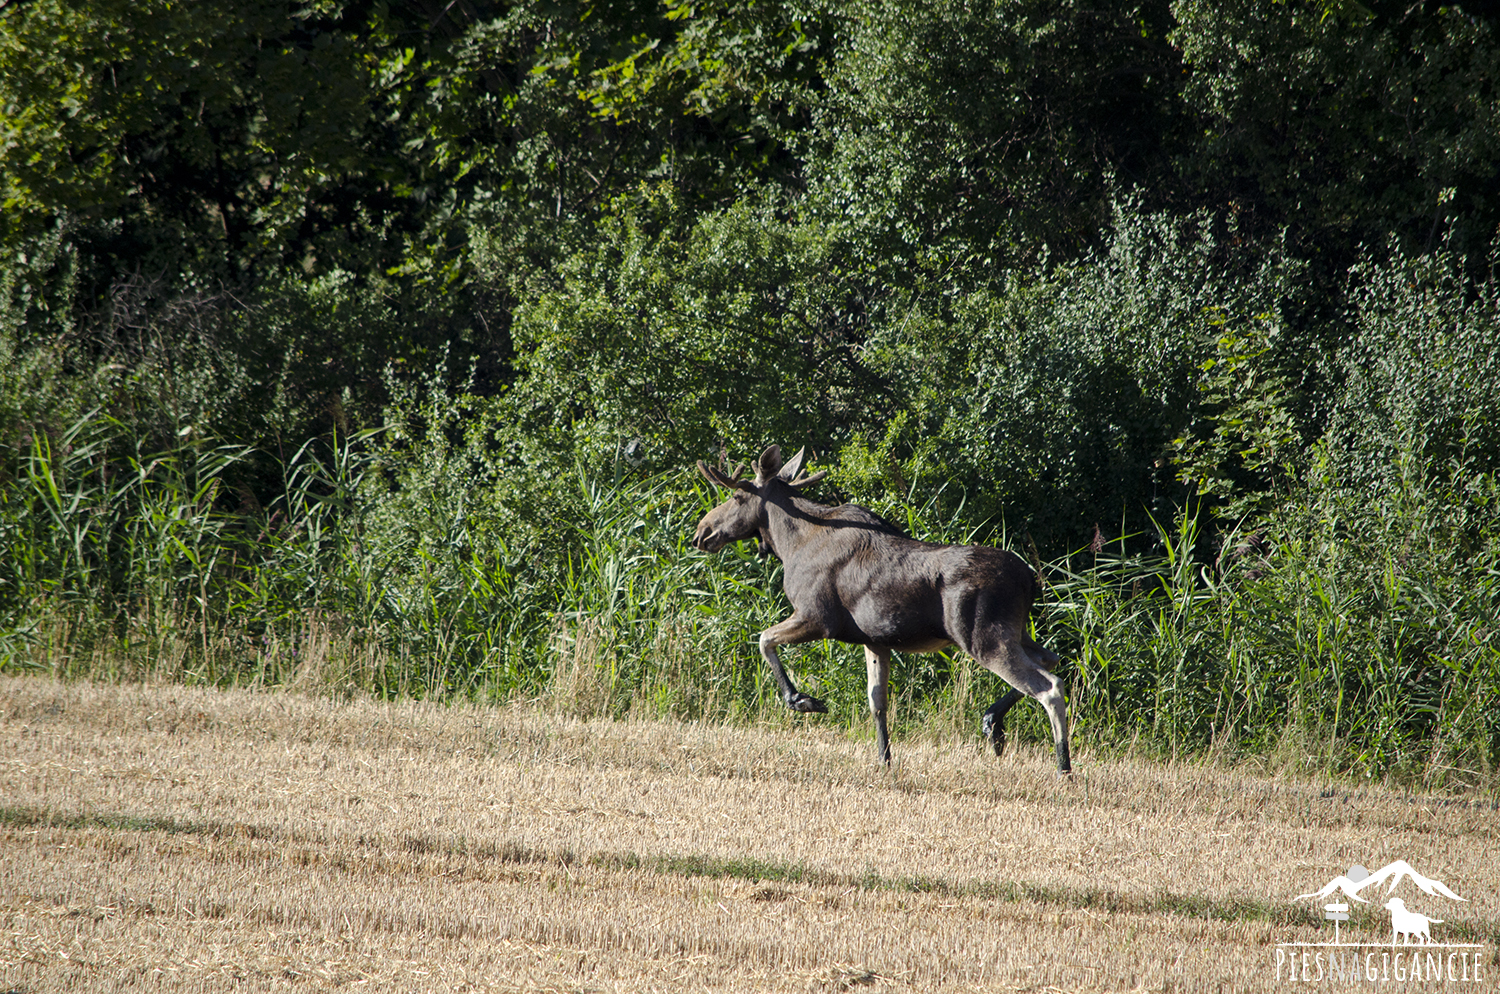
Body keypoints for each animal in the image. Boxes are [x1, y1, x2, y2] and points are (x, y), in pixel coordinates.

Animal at [690, 443, 1068, 779]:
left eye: (737, 497)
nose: (702, 532)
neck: (790, 544)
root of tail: (1031, 579)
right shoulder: (875, 640)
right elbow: (877, 702)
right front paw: (885, 761)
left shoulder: (817, 617)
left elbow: (764, 639)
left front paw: (802, 699)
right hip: (1015, 631)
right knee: (1051, 658)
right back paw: (992, 722)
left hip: (981, 636)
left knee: (1048, 686)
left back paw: (1063, 767)